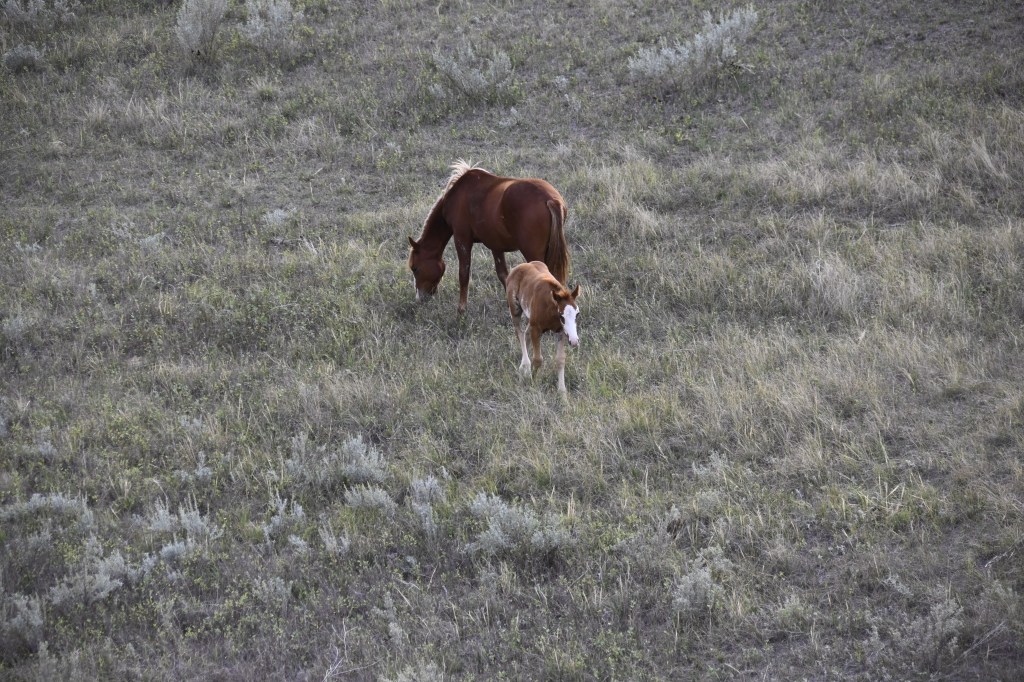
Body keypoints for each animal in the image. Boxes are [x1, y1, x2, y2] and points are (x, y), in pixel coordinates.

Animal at [407, 160, 569, 314]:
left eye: (415, 268)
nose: (420, 298)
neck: (458, 194)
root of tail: (551, 200)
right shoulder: (495, 245)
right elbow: (503, 275)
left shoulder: (462, 239)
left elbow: (464, 274)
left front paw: (461, 310)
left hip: (532, 253)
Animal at [505, 261, 581, 395]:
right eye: (561, 315)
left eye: (577, 314)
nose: (574, 341)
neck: (550, 310)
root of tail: (521, 266)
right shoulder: (536, 329)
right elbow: (538, 359)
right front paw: (533, 381)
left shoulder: (561, 332)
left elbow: (560, 360)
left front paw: (562, 392)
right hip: (515, 310)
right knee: (520, 333)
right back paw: (525, 366)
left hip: (530, 320)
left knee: (525, 334)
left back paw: (523, 369)